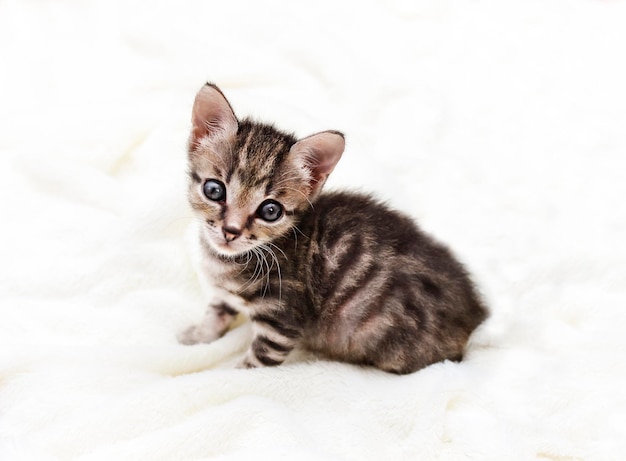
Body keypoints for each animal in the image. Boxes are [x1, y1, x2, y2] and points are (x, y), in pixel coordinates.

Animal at [178, 82, 486, 374]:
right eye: (214, 190)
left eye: (270, 211)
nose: (231, 231)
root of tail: (475, 312)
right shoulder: (224, 292)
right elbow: (216, 311)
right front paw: (196, 336)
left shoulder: (282, 320)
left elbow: (255, 364)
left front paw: (229, 374)